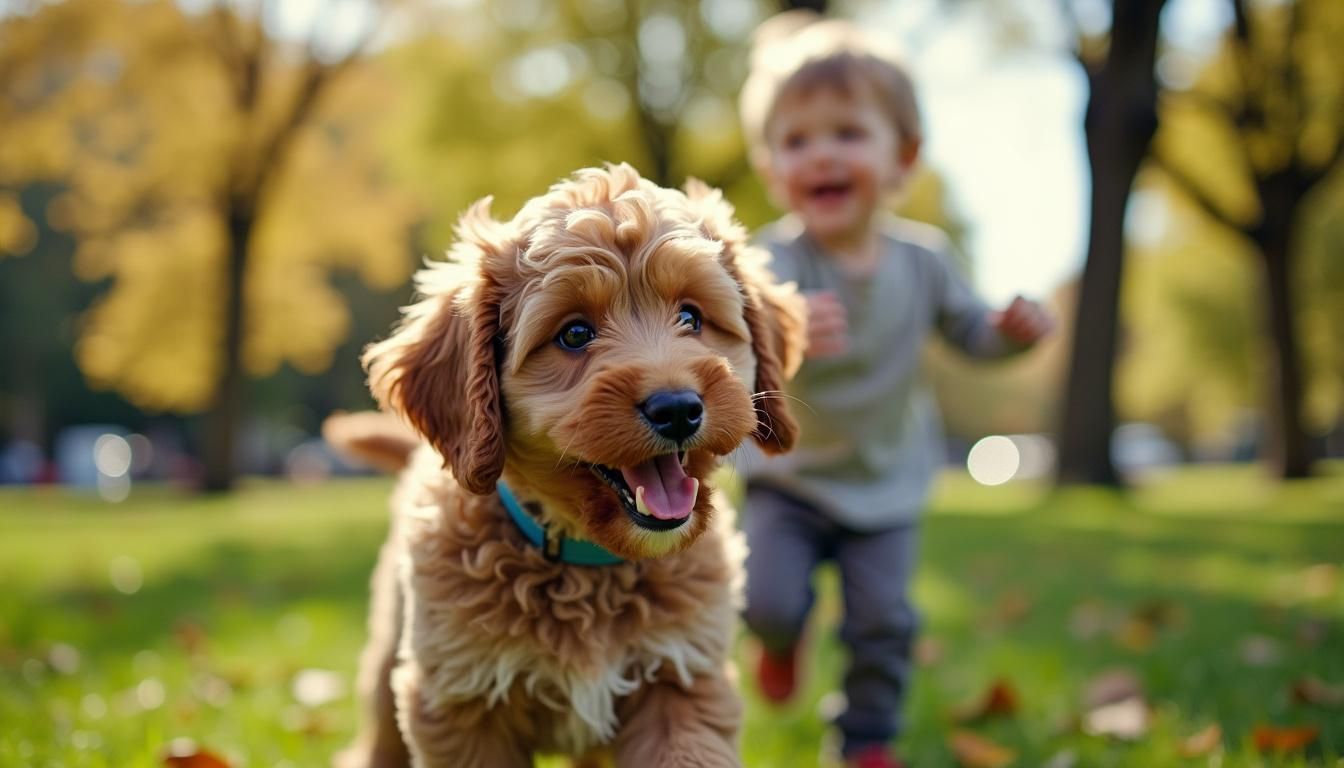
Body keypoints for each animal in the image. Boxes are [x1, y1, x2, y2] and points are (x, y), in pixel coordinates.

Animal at [330, 164, 801, 768]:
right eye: (575, 334)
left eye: (691, 317)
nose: (677, 408)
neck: (588, 564)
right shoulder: (466, 699)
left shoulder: (681, 676)